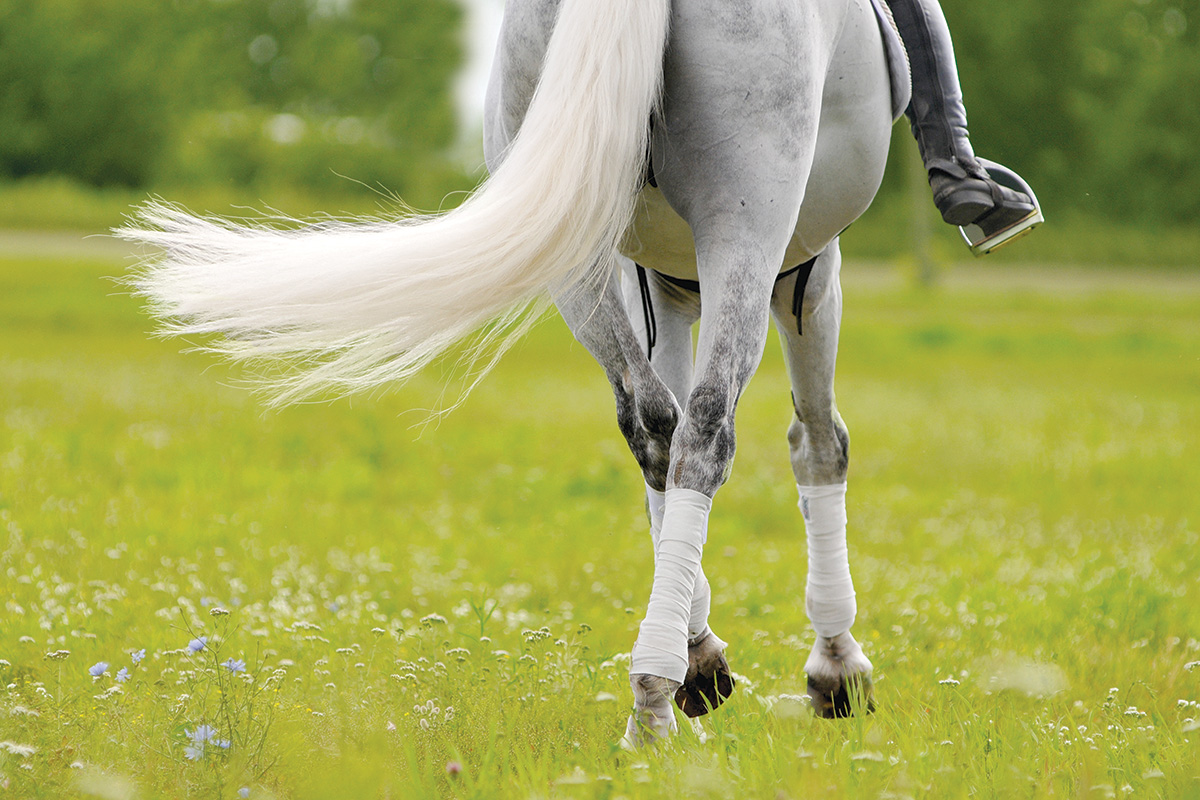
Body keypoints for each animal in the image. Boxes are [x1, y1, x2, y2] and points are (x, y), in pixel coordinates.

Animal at [124, 0, 907, 743]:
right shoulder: (803, 265)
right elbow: (818, 441)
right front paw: (836, 668)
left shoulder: (661, 280)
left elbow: (672, 417)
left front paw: (716, 650)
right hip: (745, 226)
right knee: (706, 432)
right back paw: (656, 699)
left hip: (582, 248)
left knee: (652, 425)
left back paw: (679, 668)